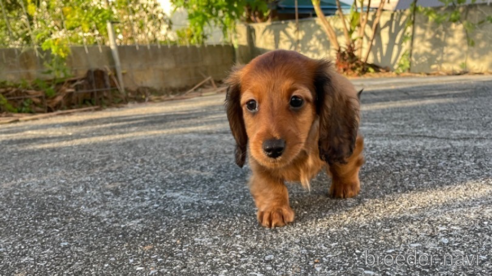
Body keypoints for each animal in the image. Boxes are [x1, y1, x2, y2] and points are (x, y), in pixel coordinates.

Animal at [225, 50, 364, 229]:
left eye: (296, 100)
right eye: (251, 104)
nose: (273, 149)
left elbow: (344, 164)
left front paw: (345, 184)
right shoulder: (258, 158)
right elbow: (267, 183)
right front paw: (274, 209)